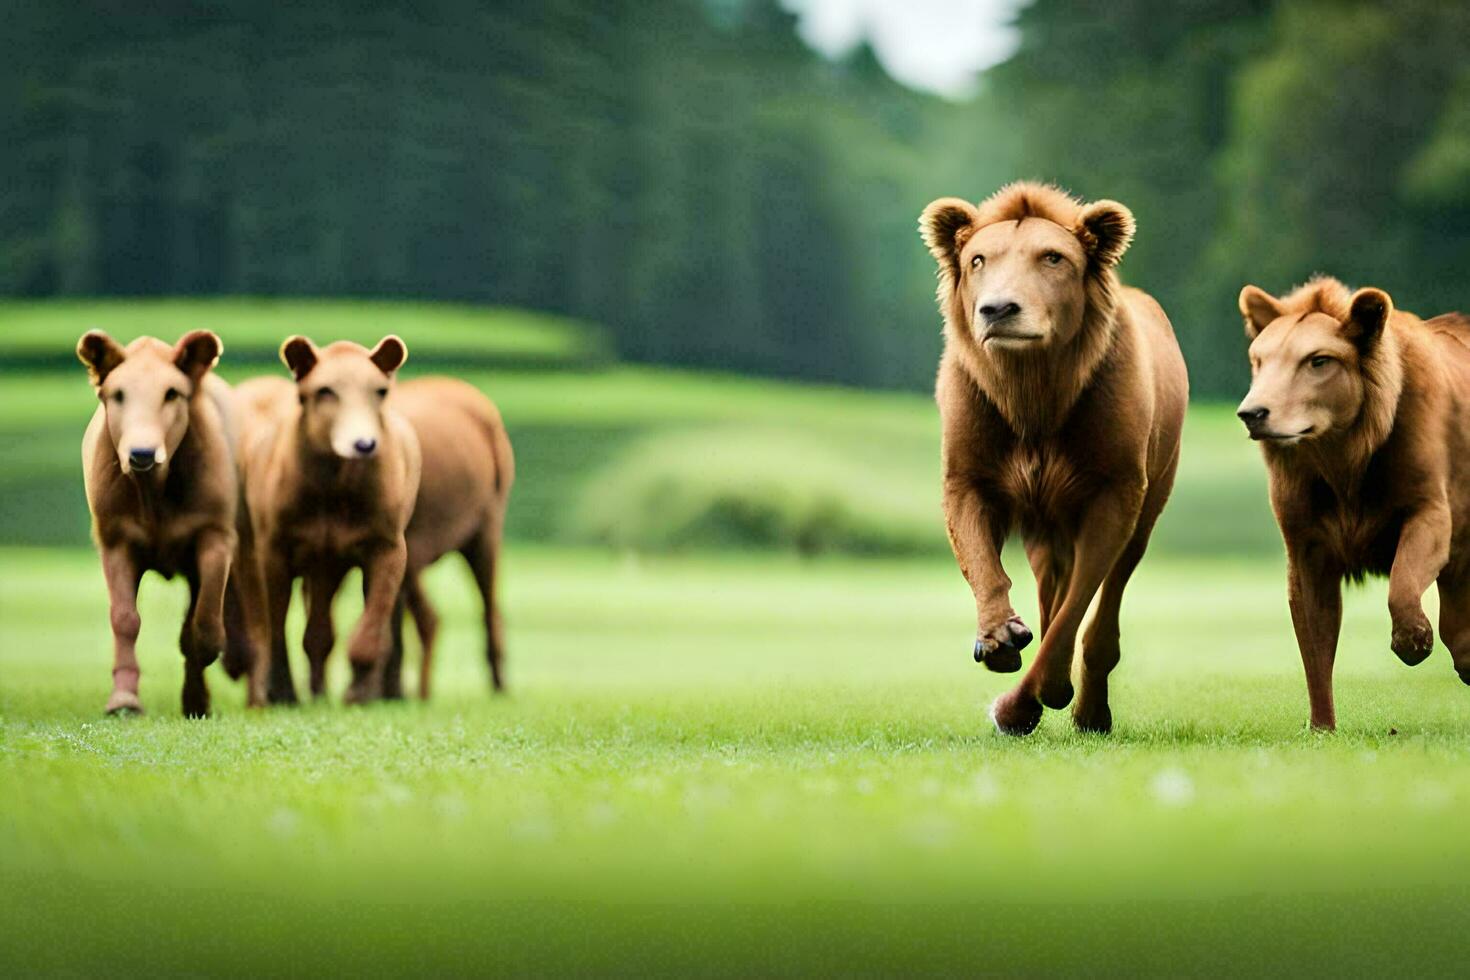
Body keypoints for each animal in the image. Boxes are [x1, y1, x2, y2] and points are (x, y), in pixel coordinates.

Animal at [78, 332, 235, 719]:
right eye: (117, 394)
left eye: (172, 393)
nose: (142, 453)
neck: (153, 490)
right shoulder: (114, 538)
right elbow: (124, 618)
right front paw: (123, 699)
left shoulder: (216, 533)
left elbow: (204, 619)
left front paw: (202, 670)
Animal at [232, 337, 420, 705]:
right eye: (325, 391)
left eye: (380, 390)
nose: (363, 443)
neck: (335, 485)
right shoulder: (273, 547)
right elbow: (274, 624)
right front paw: (280, 691)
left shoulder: (388, 545)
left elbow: (372, 623)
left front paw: (359, 689)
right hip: (249, 544)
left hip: (326, 565)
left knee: (318, 631)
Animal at [917, 183, 1193, 734]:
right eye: (978, 259)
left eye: (1053, 257)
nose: (999, 308)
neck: (1032, 387)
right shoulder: (969, 472)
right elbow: (980, 560)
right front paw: (1000, 638)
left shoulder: (1114, 491)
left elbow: (1076, 609)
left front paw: (1023, 703)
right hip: (1045, 525)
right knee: (1050, 582)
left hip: (1148, 496)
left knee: (1105, 600)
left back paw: (1088, 710)